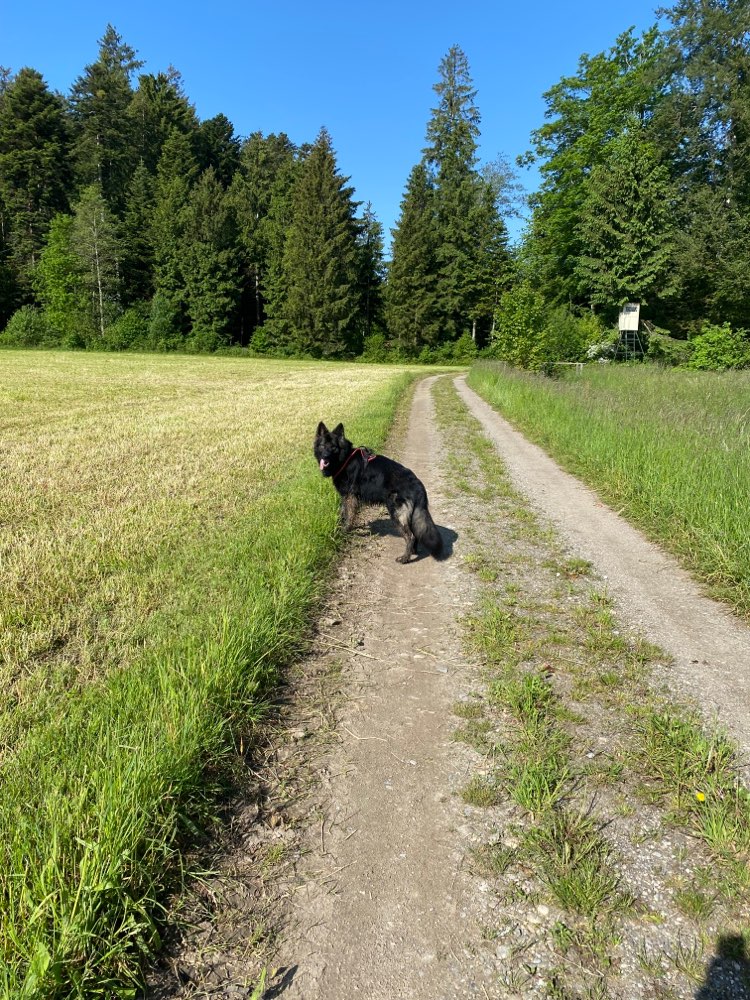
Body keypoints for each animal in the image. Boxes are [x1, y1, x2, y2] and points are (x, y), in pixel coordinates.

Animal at [314, 420, 444, 564]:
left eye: (333, 447)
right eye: (322, 446)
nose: (325, 457)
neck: (344, 459)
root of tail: (417, 485)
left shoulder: (350, 497)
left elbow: (349, 516)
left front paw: (344, 531)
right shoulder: (346, 497)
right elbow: (343, 513)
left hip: (396, 513)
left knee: (410, 536)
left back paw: (405, 558)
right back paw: (412, 552)